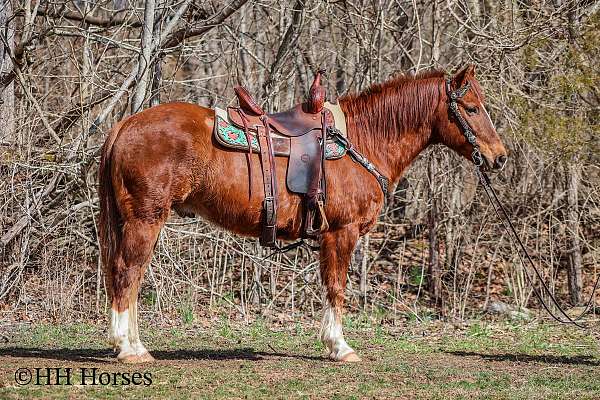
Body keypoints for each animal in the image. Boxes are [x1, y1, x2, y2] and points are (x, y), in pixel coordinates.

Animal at [97, 65, 506, 362]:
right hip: (145, 220)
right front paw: (339, 346)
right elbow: (337, 287)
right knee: (126, 273)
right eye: (471, 108)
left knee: (130, 276)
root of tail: (126, 124)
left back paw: (135, 344)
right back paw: (128, 348)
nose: (499, 157)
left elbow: (330, 286)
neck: (363, 139)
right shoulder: (342, 232)